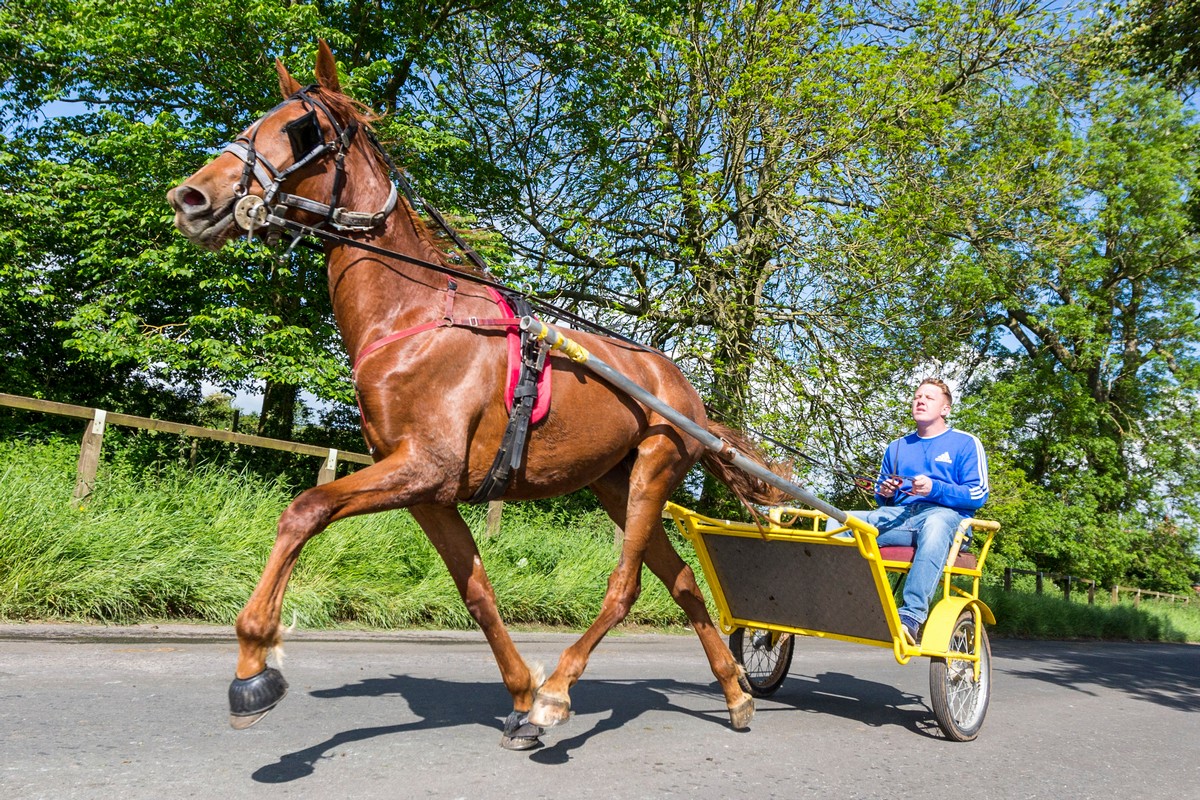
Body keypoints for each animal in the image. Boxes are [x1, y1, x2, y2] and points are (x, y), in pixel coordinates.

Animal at [169, 38, 787, 753]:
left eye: (302, 130)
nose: (190, 198)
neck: (413, 318)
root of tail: (684, 391)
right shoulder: (428, 491)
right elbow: (478, 593)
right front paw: (518, 694)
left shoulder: (424, 468)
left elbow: (304, 510)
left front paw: (253, 664)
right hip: (616, 483)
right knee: (682, 582)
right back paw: (736, 692)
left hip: (655, 469)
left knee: (626, 586)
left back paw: (560, 692)